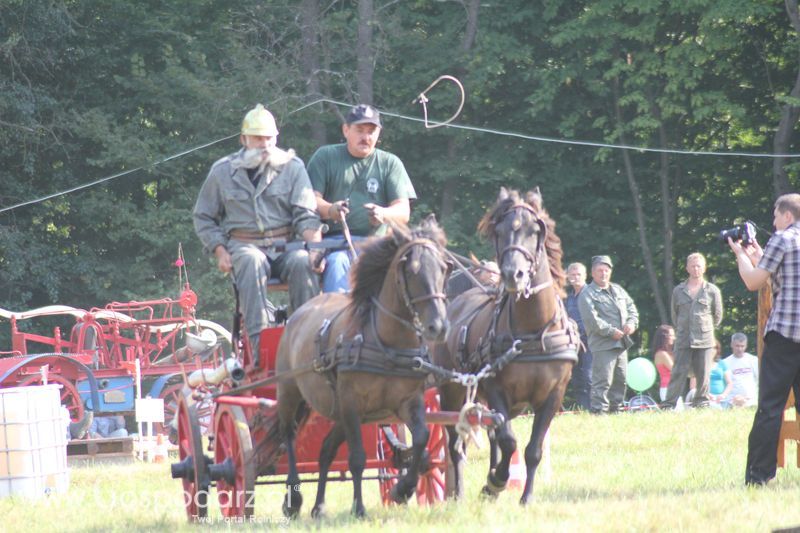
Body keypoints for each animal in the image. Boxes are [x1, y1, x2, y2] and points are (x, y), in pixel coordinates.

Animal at [276, 215, 450, 516]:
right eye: (412, 270)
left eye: (443, 267)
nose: (437, 327)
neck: (386, 343)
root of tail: (297, 313)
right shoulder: (352, 402)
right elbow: (357, 457)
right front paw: (359, 507)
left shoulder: (407, 401)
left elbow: (421, 438)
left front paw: (403, 489)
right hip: (290, 394)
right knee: (289, 436)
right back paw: (293, 498)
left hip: (337, 412)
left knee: (325, 450)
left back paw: (319, 506)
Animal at [434, 187, 580, 502]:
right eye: (499, 231)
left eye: (534, 231)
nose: (514, 274)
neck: (534, 331)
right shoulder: (498, 390)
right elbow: (509, 441)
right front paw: (496, 482)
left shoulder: (553, 396)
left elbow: (532, 449)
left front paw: (525, 497)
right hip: (451, 390)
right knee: (455, 444)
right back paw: (458, 493)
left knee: (489, 437)